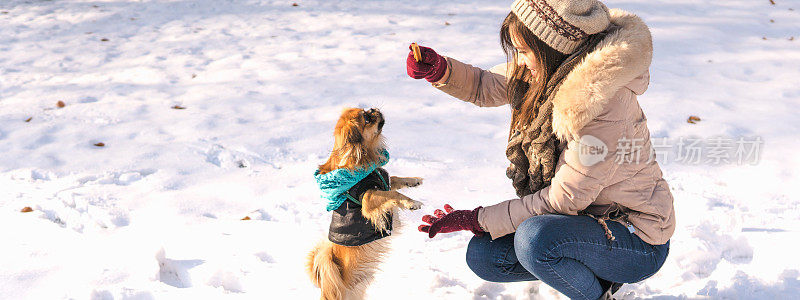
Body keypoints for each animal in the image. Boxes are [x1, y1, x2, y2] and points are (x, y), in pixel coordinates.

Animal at [304, 108, 422, 300]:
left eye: (367, 110)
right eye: (367, 118)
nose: (375, 109)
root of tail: (326, 287)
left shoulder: (382, 183)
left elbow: (394, 180)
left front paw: (414, 181)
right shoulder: (368, 198)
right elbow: (394, 193)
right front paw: (412, 203)